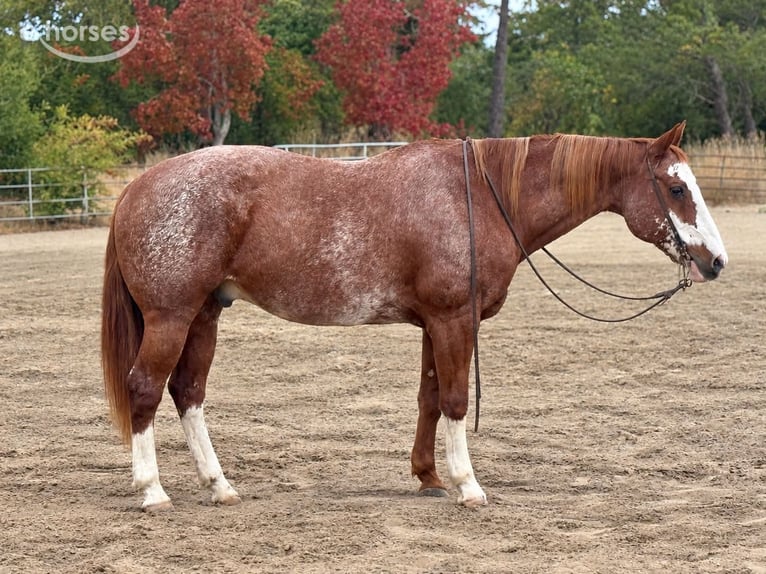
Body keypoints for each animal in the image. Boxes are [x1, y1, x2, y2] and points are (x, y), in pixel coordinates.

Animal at [102, 122, 727, 511]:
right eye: (676, 188)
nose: (716, 262)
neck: (481, 197)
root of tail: (137, 187)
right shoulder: (454, 321)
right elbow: (455, 400)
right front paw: (468, 485)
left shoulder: (436, 324)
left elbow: (429, 397)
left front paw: (427, 476)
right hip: (171, 317)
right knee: (145, 389)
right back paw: (152, 491)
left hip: (204, 317)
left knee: (188, 393)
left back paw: (219, 485)